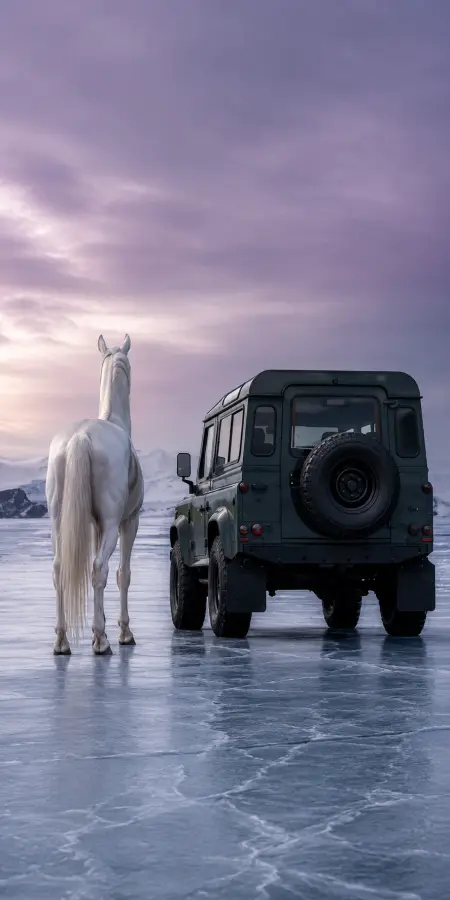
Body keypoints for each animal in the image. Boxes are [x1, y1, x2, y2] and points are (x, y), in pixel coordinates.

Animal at [45, 333, 144, 655]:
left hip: (58, 521)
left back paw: (62, 640)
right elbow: (123, 574)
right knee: (100, 568)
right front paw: (124, 632)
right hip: (114, 524)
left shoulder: (93, 525)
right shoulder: (128, 522)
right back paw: (102, 641)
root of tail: (79, 437)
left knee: (59, 569)